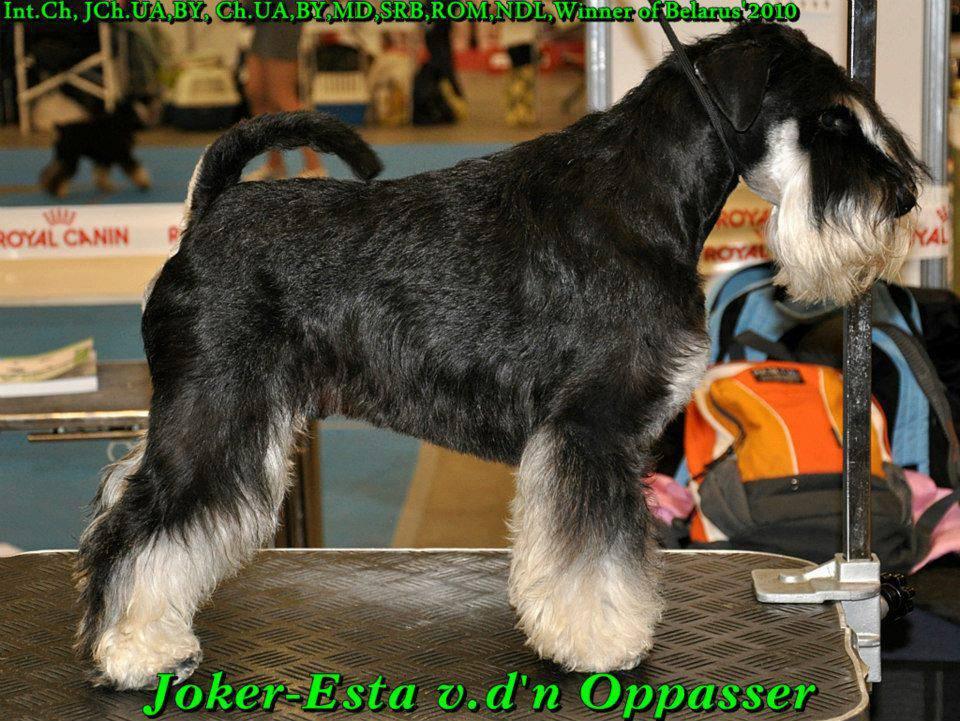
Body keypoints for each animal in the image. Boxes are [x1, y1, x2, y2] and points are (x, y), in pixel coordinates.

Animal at [76, 23, 922, 690]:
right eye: (829, 119)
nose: (905, 199)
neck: (643, 199)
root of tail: (208, 210)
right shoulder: (593, 428)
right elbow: (598, 552)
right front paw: (605, 639)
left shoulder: (582, 442)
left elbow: (566, 547)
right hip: (215, 413)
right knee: (136, 522)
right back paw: (130, 650)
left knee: (135, 502)